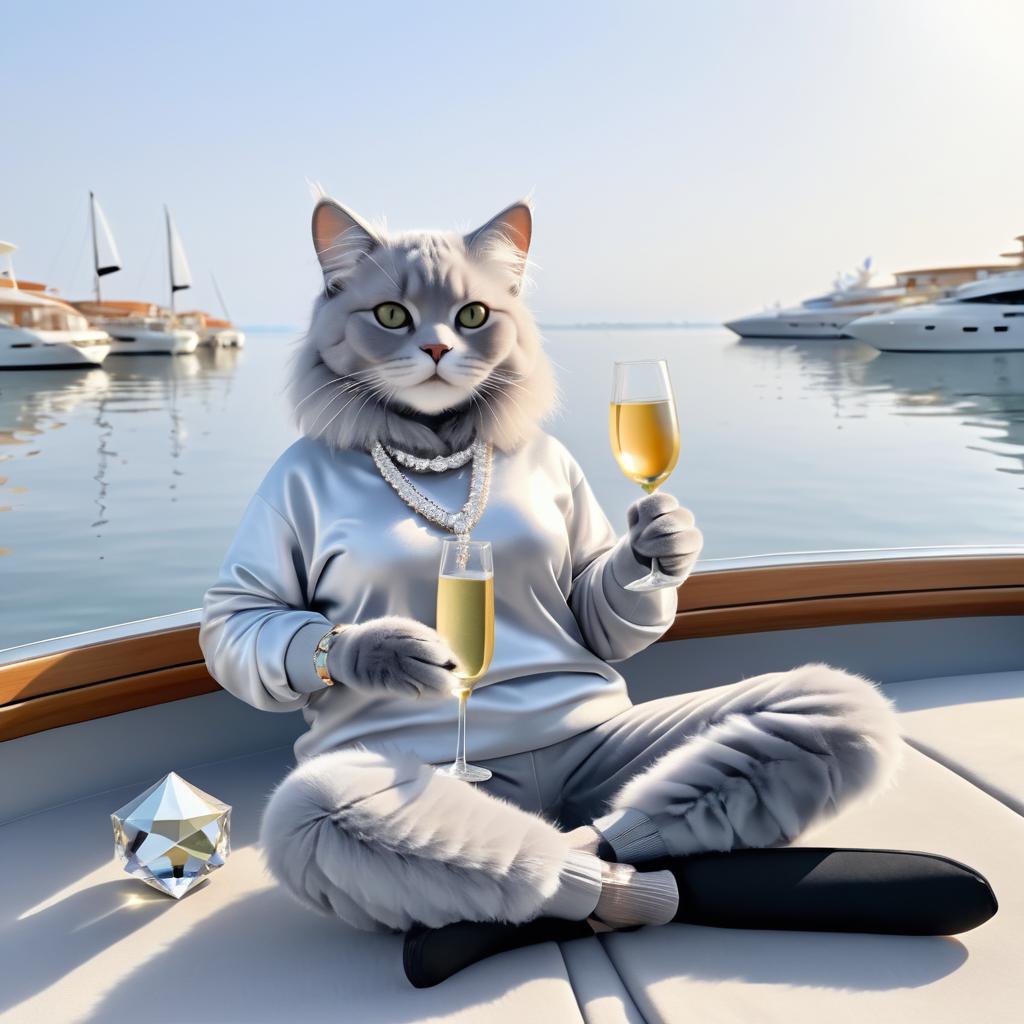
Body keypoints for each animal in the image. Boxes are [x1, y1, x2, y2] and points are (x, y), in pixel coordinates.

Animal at [197, 195, 897, 933]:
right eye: (390, 315)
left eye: (473, 315)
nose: (439, 349)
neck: (437, 439)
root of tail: (545, 801)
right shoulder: (276, 512)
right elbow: (242, 617)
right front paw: (384, 653)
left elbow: (589, 596)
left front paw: (659, 547)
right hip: (343, 799)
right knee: (327, 804)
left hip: (738, 728)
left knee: (827, 708)